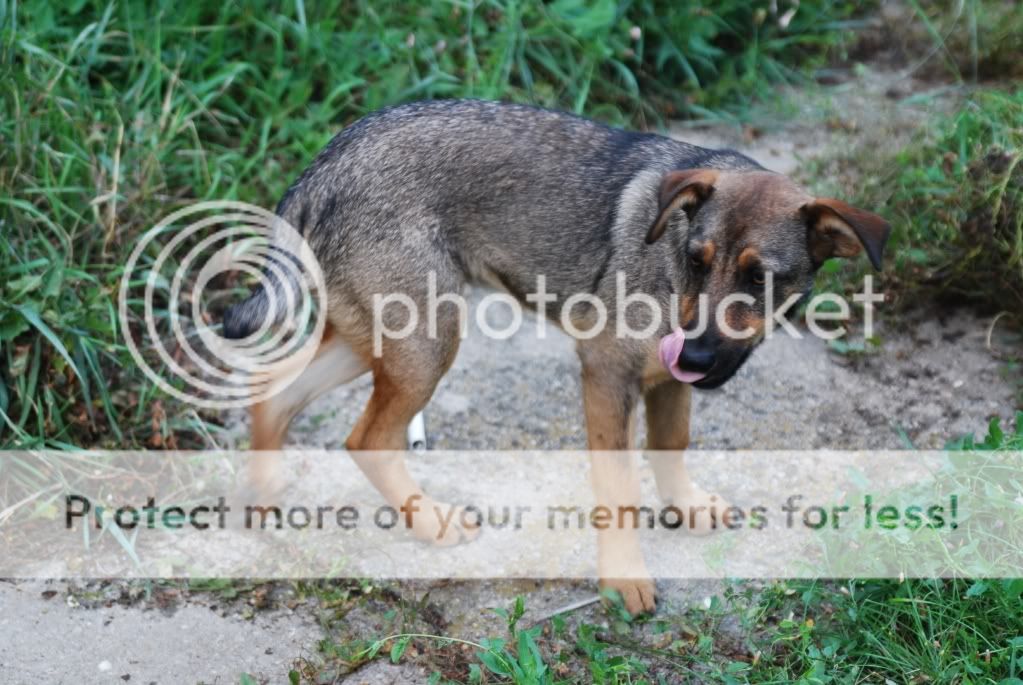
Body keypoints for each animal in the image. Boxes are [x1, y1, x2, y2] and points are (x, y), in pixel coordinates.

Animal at [221, 99, 887, 621]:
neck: (666, 265)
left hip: (377, 339)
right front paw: (623, 578)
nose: (696, 352)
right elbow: (619, 487)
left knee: (275, 389)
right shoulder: (607, 372)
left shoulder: (665, 379)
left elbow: (670, 446)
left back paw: (264, 494)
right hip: (427, 343)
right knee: (366, 439)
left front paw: (686, 507)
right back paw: (431, 521)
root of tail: (328, 159)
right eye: (696, 261)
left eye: (760, 279)